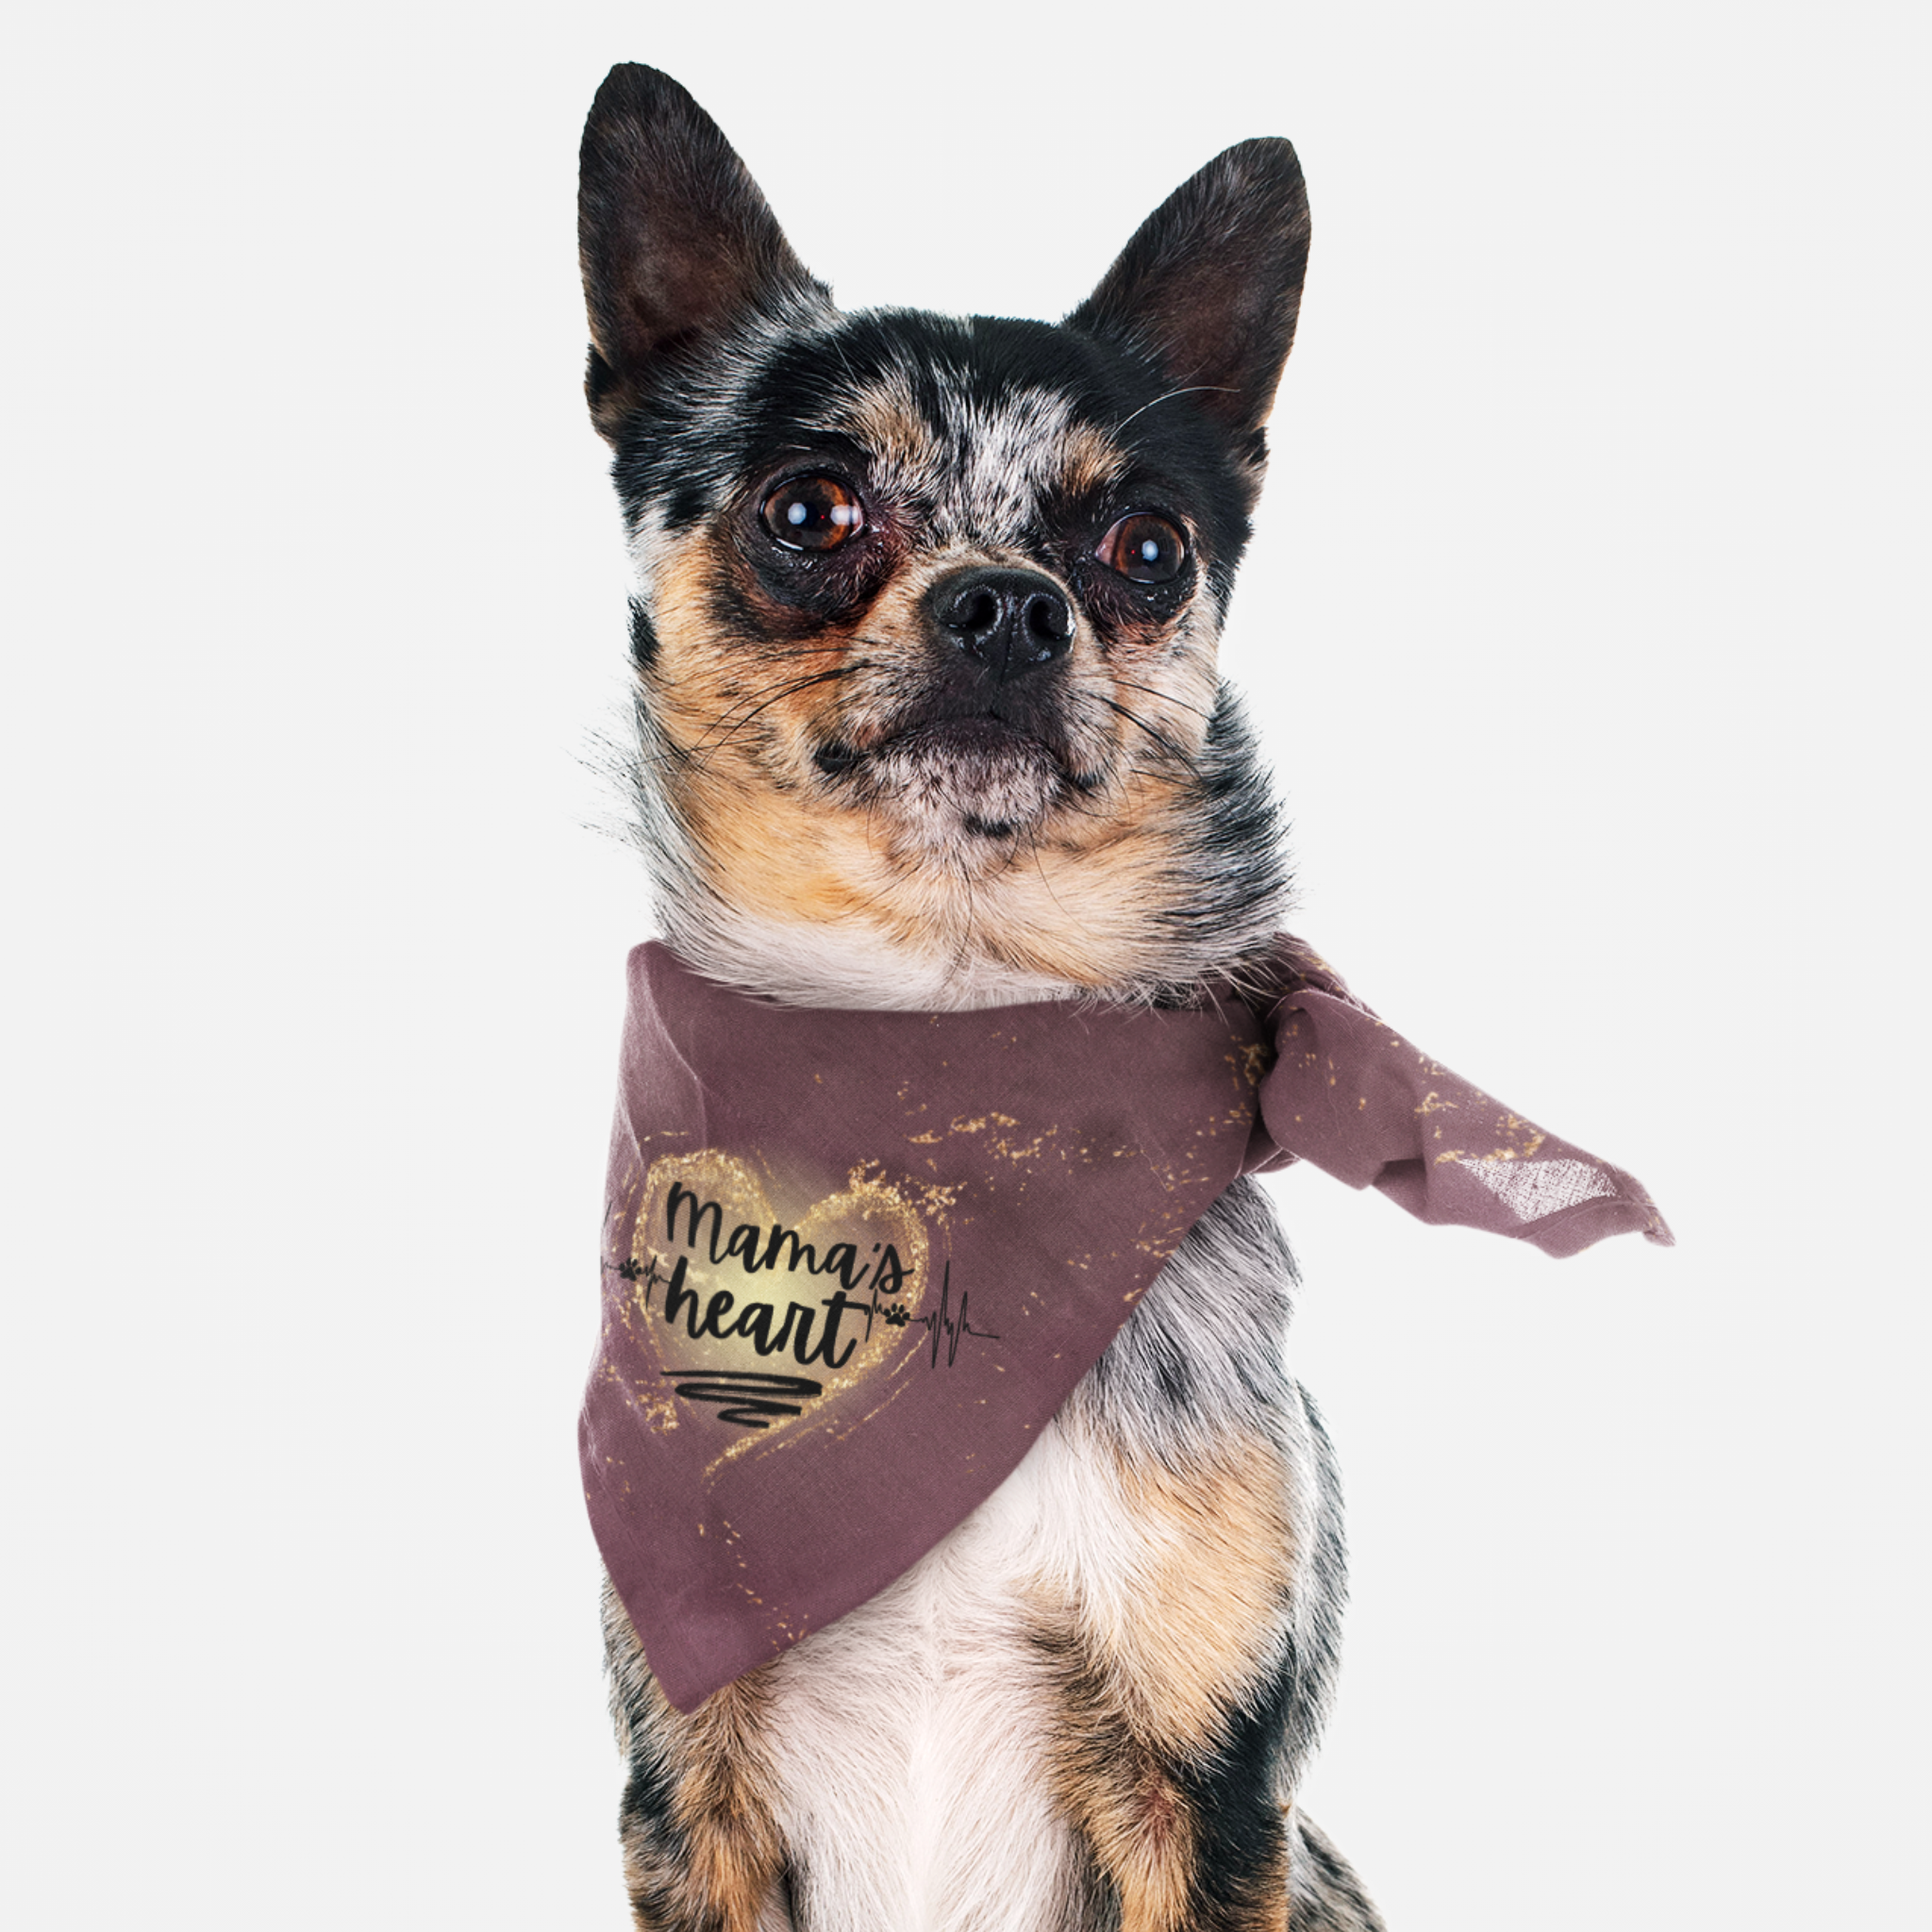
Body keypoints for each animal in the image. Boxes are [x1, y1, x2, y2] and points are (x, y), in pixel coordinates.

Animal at [579, 60, 1383, 1932]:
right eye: (810, 511)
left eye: (1146, 546)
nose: (1010, 603)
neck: (947, 1047)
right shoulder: (685, 1792)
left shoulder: (1211, 1792)